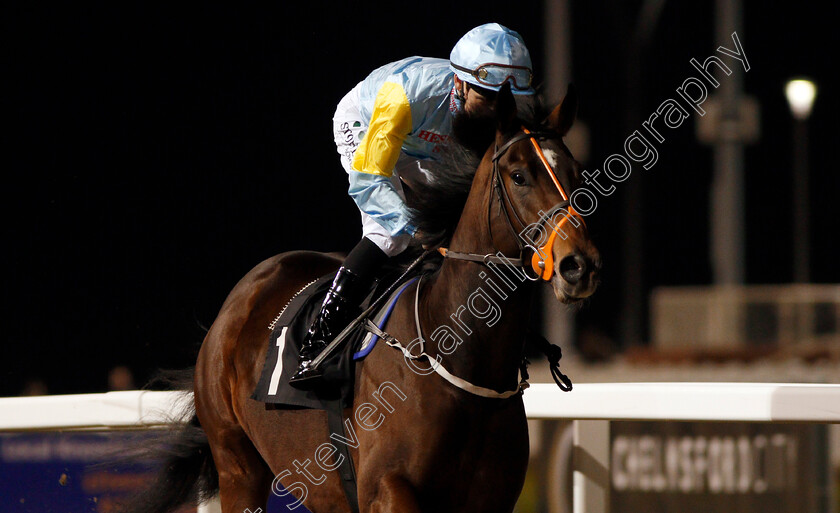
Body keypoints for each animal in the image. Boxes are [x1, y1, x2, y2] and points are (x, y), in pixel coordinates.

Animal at [124, 85, 596, 512]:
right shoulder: (386, 489)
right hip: (237, 464)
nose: (580, 265)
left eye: (576, 173)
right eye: (519, 175)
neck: (460, 360)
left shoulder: (491, 500)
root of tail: (237, 301)